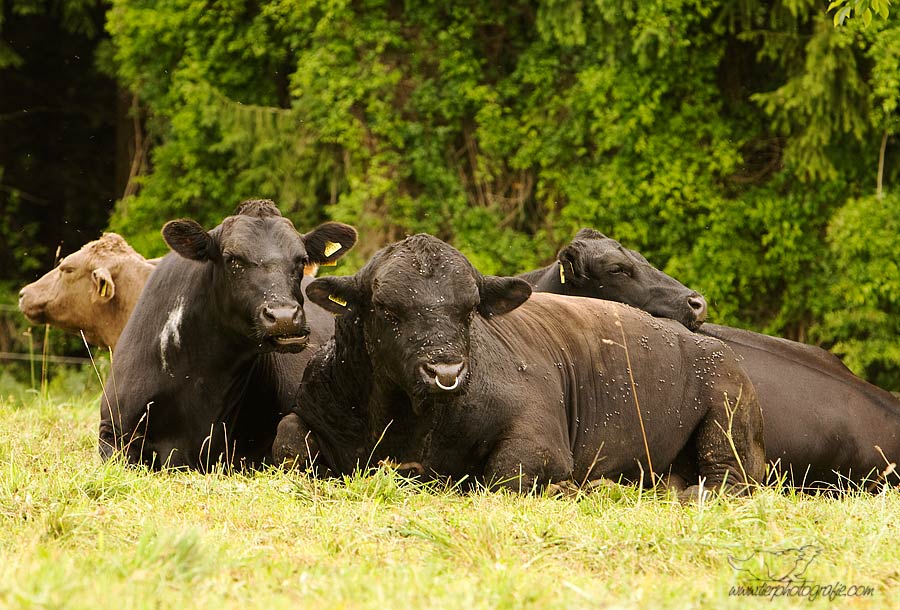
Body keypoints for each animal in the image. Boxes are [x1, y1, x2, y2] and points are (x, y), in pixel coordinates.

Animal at [274, 230, 768, 496]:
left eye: (469, 309)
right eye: (386, 308)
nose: (446, 372)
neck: (407, 422)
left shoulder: (540, 439)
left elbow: (505, 475)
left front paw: (566, 488)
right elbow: (287, 438)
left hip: (728, 422)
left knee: (725, 481)